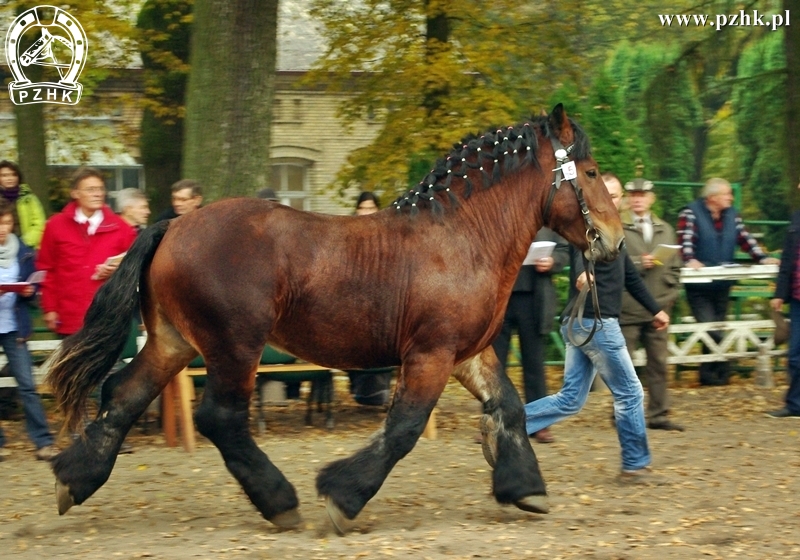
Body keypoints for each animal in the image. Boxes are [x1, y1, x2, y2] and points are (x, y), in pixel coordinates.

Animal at [45, 104, 624, 532]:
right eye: (592, 172)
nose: (615, 241)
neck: (461, 237)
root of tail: (173, 225)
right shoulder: (430, 355)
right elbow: (404, 429)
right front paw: (343, 497)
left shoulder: (468, 353)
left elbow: (510, 406)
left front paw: (526, 489)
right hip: (234, 346)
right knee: (220, 418)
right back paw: (280, 501)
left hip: (173, 341)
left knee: (123, 394)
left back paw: (73, 479)